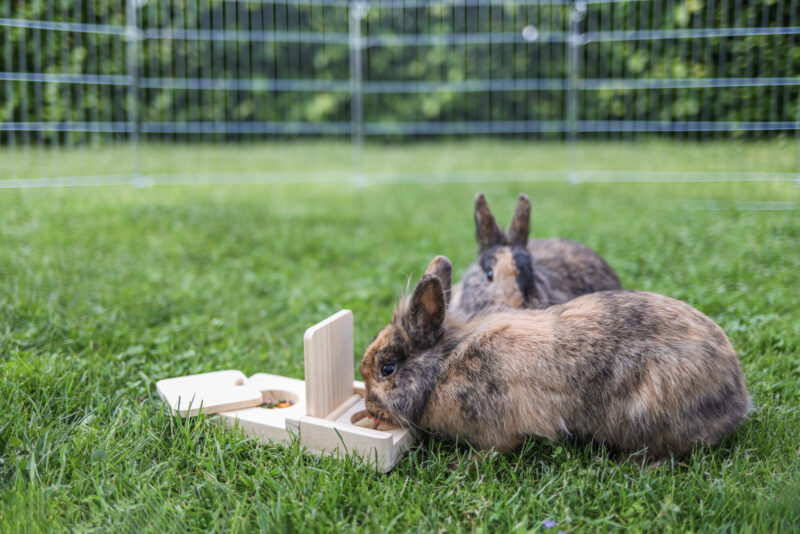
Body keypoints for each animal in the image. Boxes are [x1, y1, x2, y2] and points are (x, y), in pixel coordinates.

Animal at [360, 256, 752, 460]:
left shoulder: (497, 429)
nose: (369, 408)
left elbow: (495, 450)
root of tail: (737, 398)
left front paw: (465, 464)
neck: (443, 366)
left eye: (387, 369)